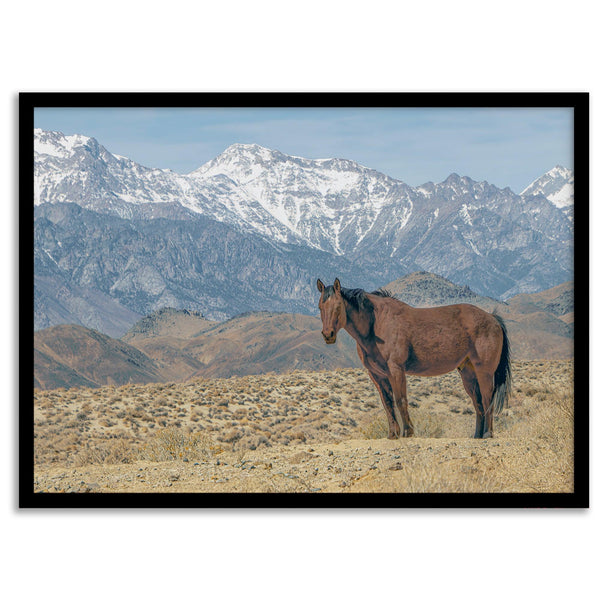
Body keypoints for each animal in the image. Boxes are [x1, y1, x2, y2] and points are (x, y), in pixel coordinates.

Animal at [314, 278, 510, 438]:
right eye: (320, 307)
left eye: (338, 306)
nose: (328, 335)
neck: (376, 324)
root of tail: (493, 318)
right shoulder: (377, 375)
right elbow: (387, 403)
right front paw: (393, 434)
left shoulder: (396, 370)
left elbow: (401, 400)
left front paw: (408, 432)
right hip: (468, 372)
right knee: (478, 402)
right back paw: (477, 435)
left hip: (484, 371)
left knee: (487, 398)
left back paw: (488, 434)